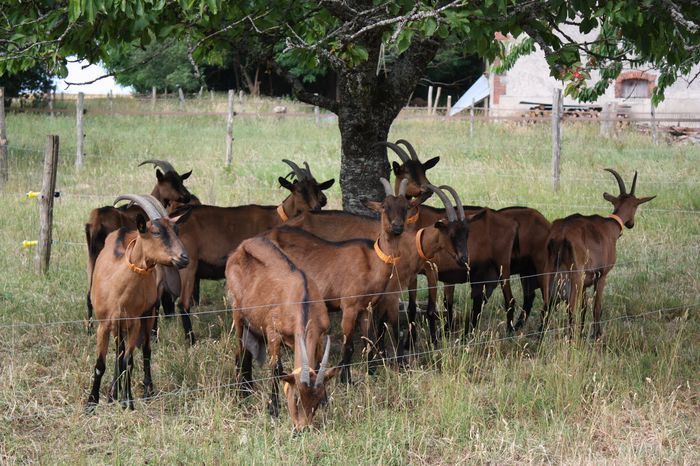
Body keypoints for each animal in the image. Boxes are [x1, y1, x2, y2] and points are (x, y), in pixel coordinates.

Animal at [87, 193, 191, 412]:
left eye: (176, 230)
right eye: (156, 232)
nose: (184, 258)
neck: (117, 286)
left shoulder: (134, 321)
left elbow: (129, 361)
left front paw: (128, 401)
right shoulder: (104, 324)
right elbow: (101, 364)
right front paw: (91, 403)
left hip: (148, 313)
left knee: (145, 352)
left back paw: (146, 390)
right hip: (119, 326)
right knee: (119, 352)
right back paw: (113, 392)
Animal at [226, 237, 338, 430]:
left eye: (315, 404)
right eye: (296, 398)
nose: (302, 429)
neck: (303, 302)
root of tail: (241, 247)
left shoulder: (321, 334)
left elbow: (317, 366)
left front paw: (326, 402)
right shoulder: (273, 333)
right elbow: (277, 368)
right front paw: (273, 408)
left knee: (246, 354)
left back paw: (248, 389)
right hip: (237, 314)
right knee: (240, 353)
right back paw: (241, 394)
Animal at [540, 169, 656, 336]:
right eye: (636, 206)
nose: (631, 224)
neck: (610, 226)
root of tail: (562, 234)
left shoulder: (585, 284)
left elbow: (584, 308)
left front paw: (582, 333)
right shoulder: (602, 275)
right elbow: (596, 308)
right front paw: (597, 335)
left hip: (549, 273)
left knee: (546, 308)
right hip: (575, 277)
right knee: (570, 308)